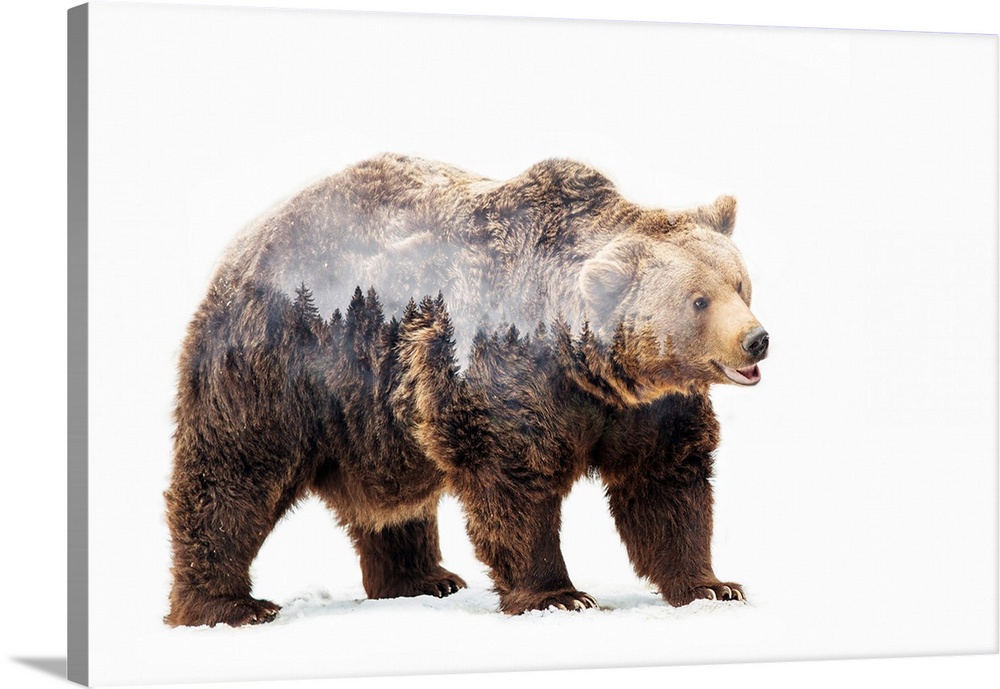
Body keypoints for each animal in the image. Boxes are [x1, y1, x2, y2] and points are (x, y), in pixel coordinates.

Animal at [164, 154, 768, 626]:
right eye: (698, 300)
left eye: (740, 284)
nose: (756, 340)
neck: (590, 368)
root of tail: (244, 241)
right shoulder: (504, 372)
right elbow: (514, 481)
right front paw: (559, 594)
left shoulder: (648, 409)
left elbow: (666, 483)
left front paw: (712, 585)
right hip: (280, 364)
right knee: (236, 473)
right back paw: (228, 605)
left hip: (375, 415)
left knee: (393, 501)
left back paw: (422, 578)